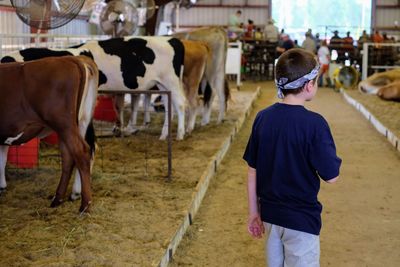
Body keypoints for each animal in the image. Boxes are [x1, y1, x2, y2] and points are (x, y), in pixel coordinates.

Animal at [0, 37, 186, 141]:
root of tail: (172, 40)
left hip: (171, 81)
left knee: (180, 105)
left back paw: (180, 134)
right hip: (162, 85)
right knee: (169, 108)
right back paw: (164, 135)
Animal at [0, 56, 98, 214]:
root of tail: (70, 58)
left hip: (64, 124)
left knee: (81, 152)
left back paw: (85, 205)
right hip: (75, 125)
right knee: (68, 157)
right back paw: (58, 199)